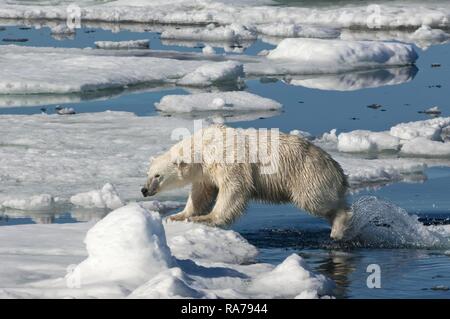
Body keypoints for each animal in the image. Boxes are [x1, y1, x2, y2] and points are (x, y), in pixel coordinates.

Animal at [142, 125, 354, 240]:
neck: (204, 146)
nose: (144, 190)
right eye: (148, 173)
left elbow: (233, 188)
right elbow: (200, 194)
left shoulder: (228, 159)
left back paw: (338, 227)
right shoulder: (206, 172)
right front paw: (177, 216)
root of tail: (338, 169)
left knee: (316, 200)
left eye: (157, 176)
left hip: (308, 175)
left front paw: (206, 218)